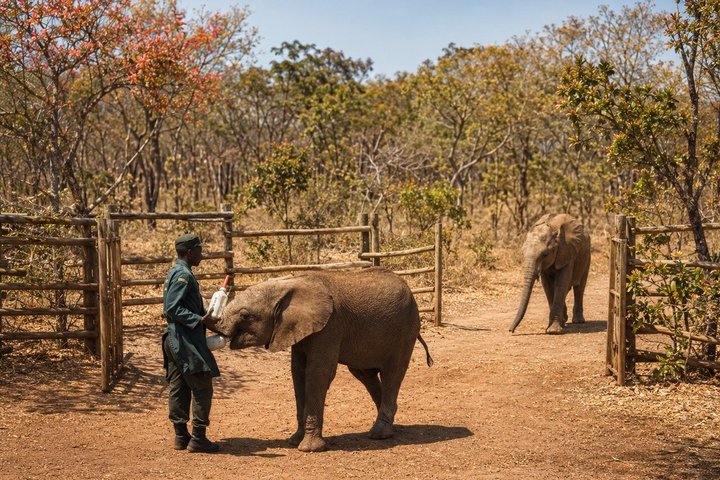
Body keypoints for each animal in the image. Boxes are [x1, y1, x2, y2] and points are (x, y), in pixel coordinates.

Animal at [212, 267, 433, 452]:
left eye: (245, 316)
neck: (289, 283)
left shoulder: (330, 326)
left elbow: (318, 373)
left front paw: (309, 449)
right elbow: (298, 373)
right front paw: (294, 441)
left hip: (406, 329)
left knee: (391, 374)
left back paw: (379, 435)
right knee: (365, 374)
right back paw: (391, 426)